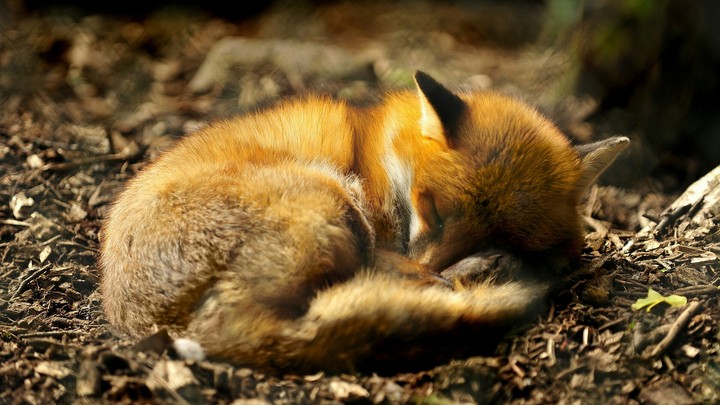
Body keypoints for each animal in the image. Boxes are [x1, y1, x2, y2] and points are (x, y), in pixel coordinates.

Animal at [99, 71, 628, 373]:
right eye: (433, 209)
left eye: (508, 233)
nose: (437, 266)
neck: (379, 154)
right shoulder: (382, 228)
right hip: (332, 200)